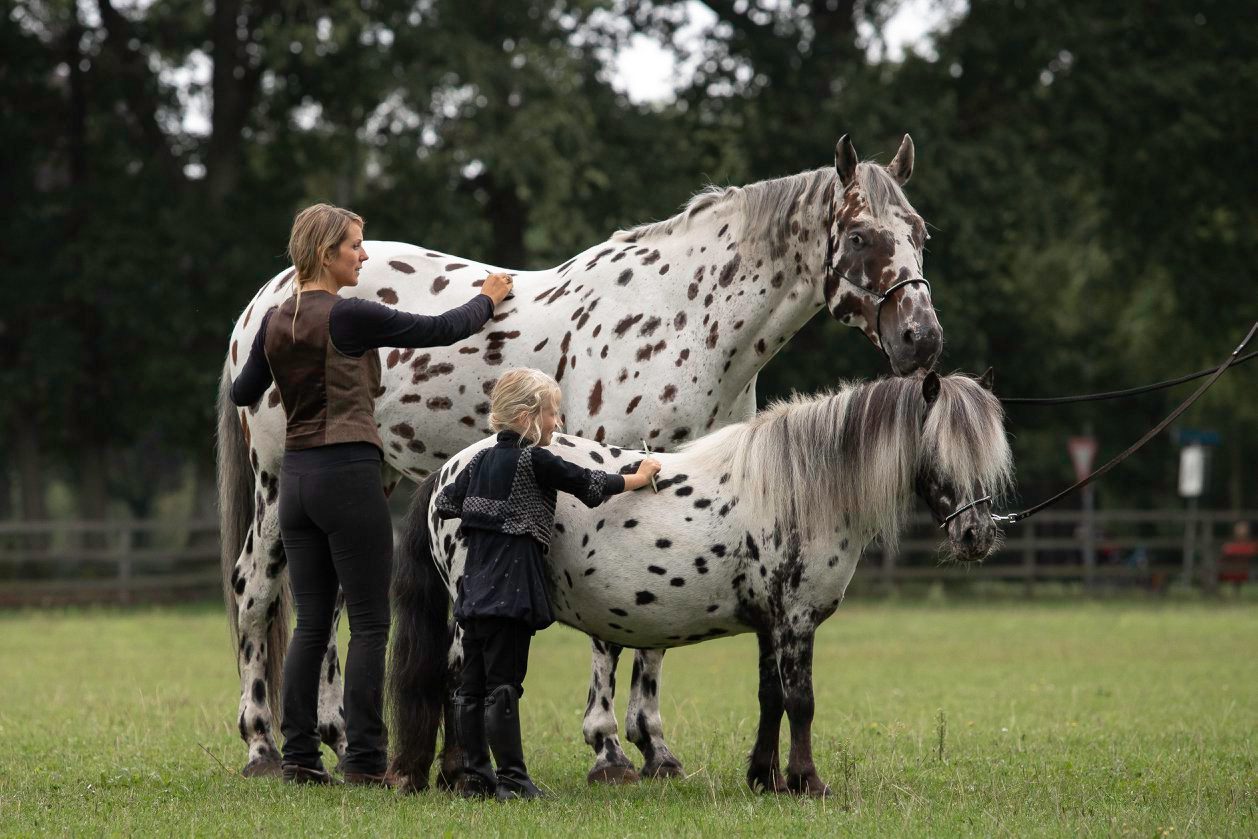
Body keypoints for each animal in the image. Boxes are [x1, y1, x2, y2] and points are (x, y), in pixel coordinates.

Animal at [218, 134, 946, 779]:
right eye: (861, 237)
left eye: (919, 232)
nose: (923, 339)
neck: (681, 319)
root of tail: (272, 295)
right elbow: (612, 628)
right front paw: (608, 752)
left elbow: (653, 632)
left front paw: (655, 750)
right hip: (277, 482)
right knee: (255, 589)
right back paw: (260, 747)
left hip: (371, 476)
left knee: (332, 595)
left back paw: (337, 739)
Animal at [392, 372, 1011, 794]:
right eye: (939, 452)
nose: (977, 536)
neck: (795, 490)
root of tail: (451, 470)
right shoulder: (795, 622)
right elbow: (802, 701)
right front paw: (808, 782)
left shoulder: (769, 626)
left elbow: (769, 698)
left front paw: (765, 779)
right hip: (474, 621)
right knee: (457, 683)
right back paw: (463, 778)